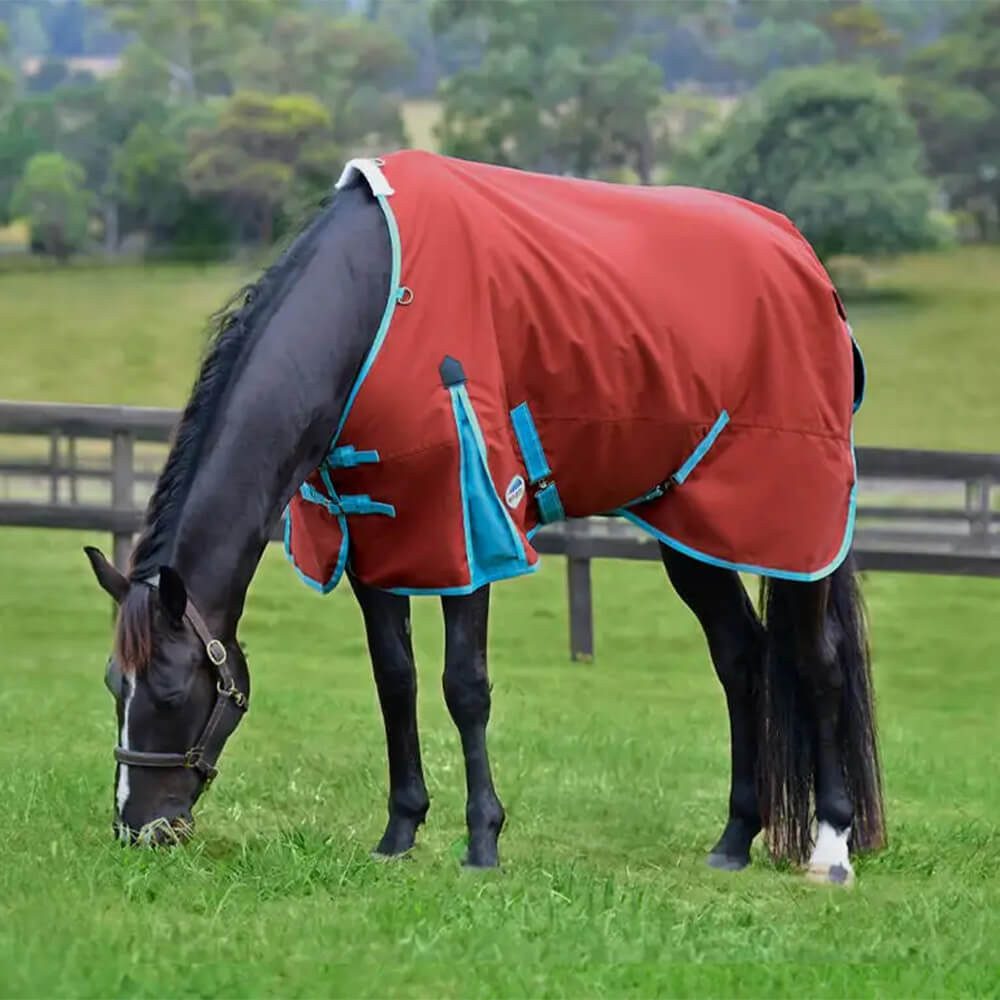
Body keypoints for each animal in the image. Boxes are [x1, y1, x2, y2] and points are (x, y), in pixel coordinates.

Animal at [86, 151, 884, 885]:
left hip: (795, 526)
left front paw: (482, 842)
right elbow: (396, 679)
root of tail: (807, 266)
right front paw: (399, 833)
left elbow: (463, 686)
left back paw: (831, 848)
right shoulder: (375, 538)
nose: (139, 829)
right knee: (739, 657)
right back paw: (733, 840)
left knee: (818, 663)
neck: (374, 304)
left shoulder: (471, 529)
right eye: (112, 685)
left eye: (168, 692)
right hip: (694, 532)